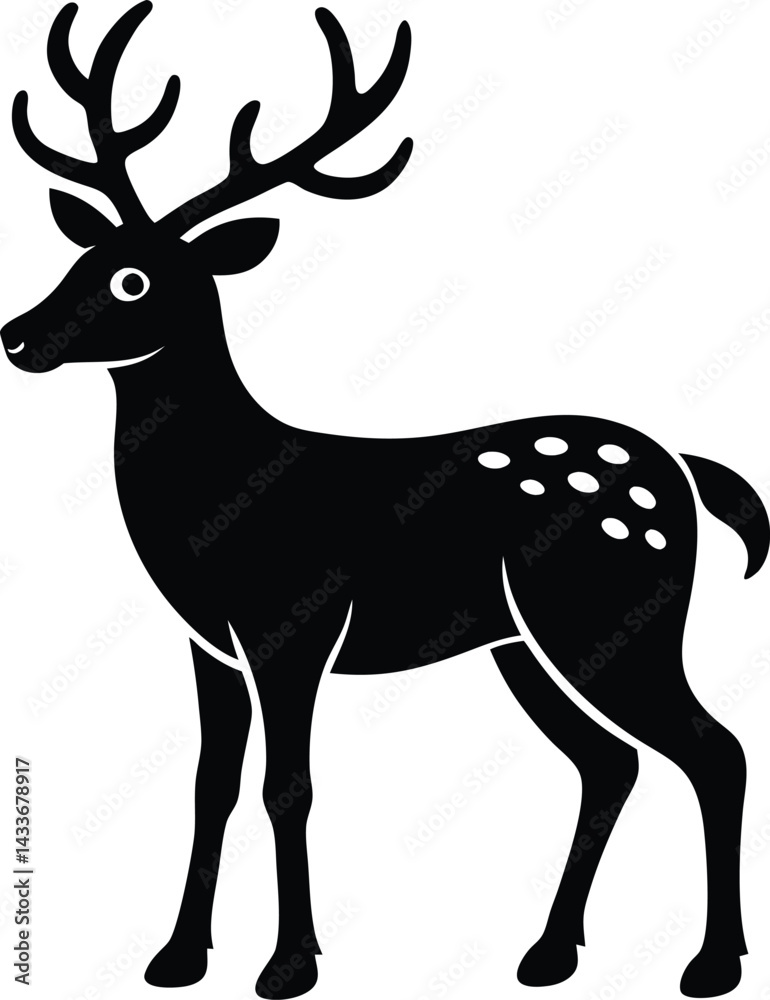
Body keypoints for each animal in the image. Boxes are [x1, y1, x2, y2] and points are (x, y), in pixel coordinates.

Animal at [3, 2, 768, 998]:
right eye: (83, 254)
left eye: (133, 279)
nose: (16, 336)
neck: (217, 500)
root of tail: (684, 468)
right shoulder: (207, 640)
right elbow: (211, 783)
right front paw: (174, 957)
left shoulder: (295, 622)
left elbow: (287, 786)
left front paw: (290, 964)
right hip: (527, 644)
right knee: (611, 762)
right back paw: (549, 953)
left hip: (613, 611)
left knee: (715, 750)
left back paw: (709, 962)